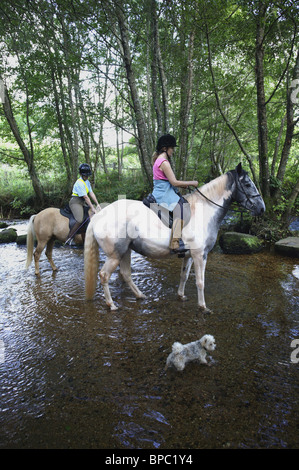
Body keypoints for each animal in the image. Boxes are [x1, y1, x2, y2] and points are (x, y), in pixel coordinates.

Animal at [84, 163, 264, 314]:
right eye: (247, 184)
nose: (262, 208)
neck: (204, 211)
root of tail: (98, 216)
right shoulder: (200, 254)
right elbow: (200, 281)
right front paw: (203, 307)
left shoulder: (189, 255)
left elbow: (184, 276)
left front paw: (181, 296)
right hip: (115, 254)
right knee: (104, 275)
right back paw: (111, 305)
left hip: (126, 250)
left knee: (126, 274)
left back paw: (140, 295)